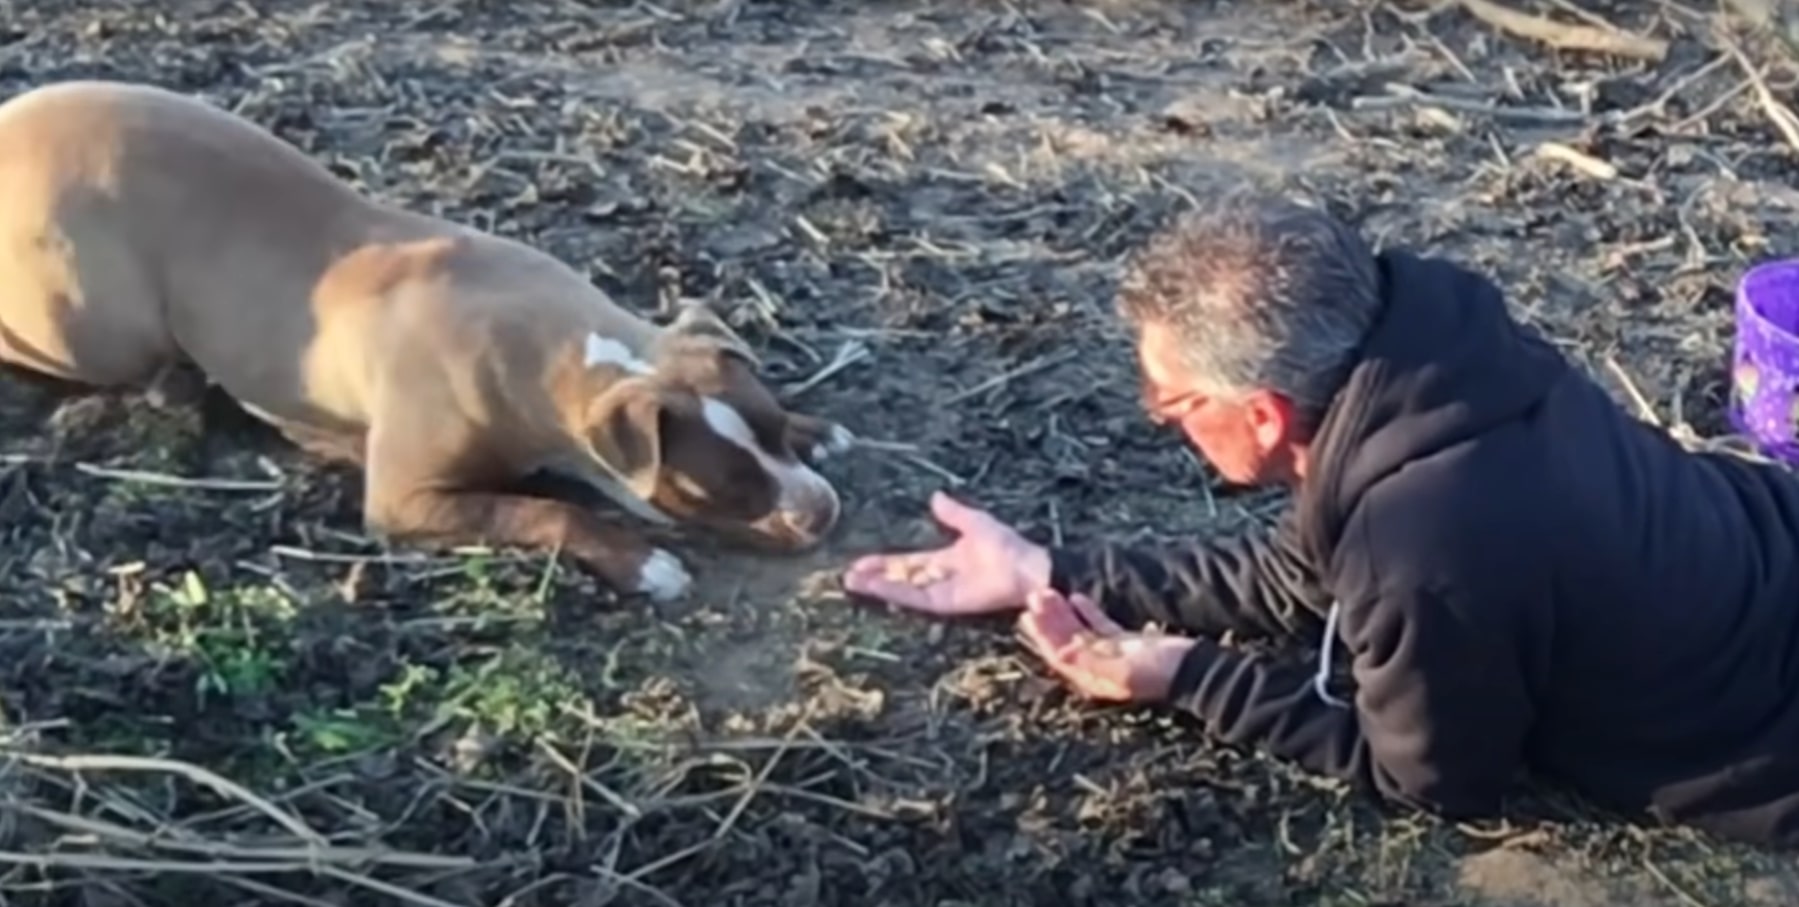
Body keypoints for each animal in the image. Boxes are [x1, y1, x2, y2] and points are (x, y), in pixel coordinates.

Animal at [0, 79, 856, 601]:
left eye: (770, 431)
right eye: (719, 490)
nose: (821, 511)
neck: (570, 353)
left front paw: (818, 426)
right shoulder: (407, 497)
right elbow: (544, 514)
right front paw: (643, 562)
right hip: (96, 322)